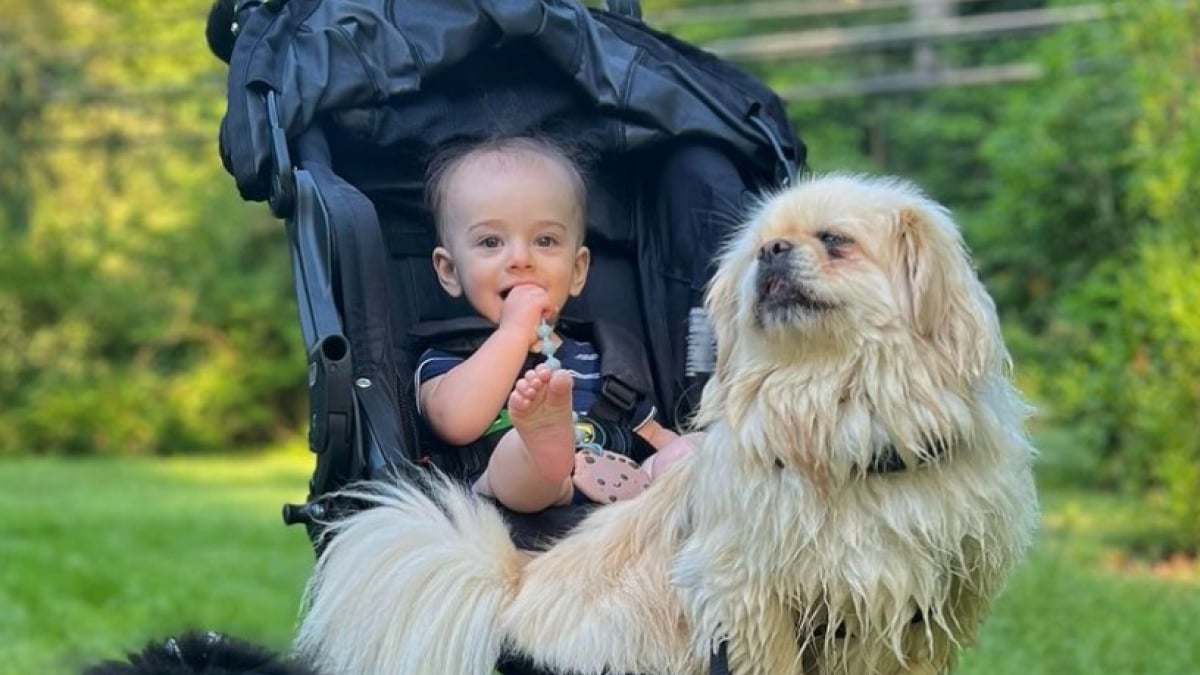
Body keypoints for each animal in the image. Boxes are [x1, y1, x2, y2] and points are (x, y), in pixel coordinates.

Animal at [295, 174, 1036, 672]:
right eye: (760, 247)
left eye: (835, 242)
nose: (772, 251)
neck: (837, 412)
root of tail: (513, 587)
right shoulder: (749, 601)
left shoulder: (917, 612)